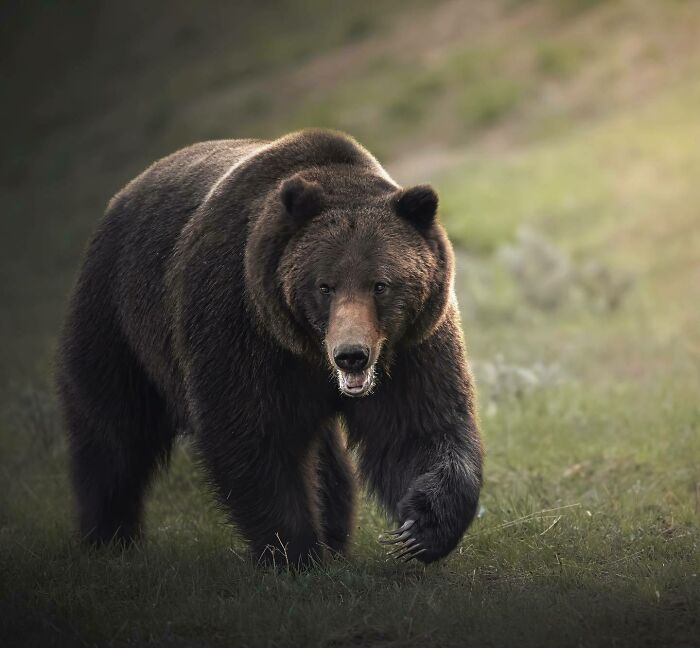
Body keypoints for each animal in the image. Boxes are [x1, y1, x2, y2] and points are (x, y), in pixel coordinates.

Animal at [57, 129, 483, 567]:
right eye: (324, 285)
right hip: (118, 316)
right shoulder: (240, 325)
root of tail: (124, 193)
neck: (308, 349)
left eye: (380, 284)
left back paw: (335, 531)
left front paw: (422, 528)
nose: (351, 354)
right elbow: (252, 435)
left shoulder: (411, 344)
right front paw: (295, 551)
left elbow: (417, 428)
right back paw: (109, 534)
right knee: (113, 430)